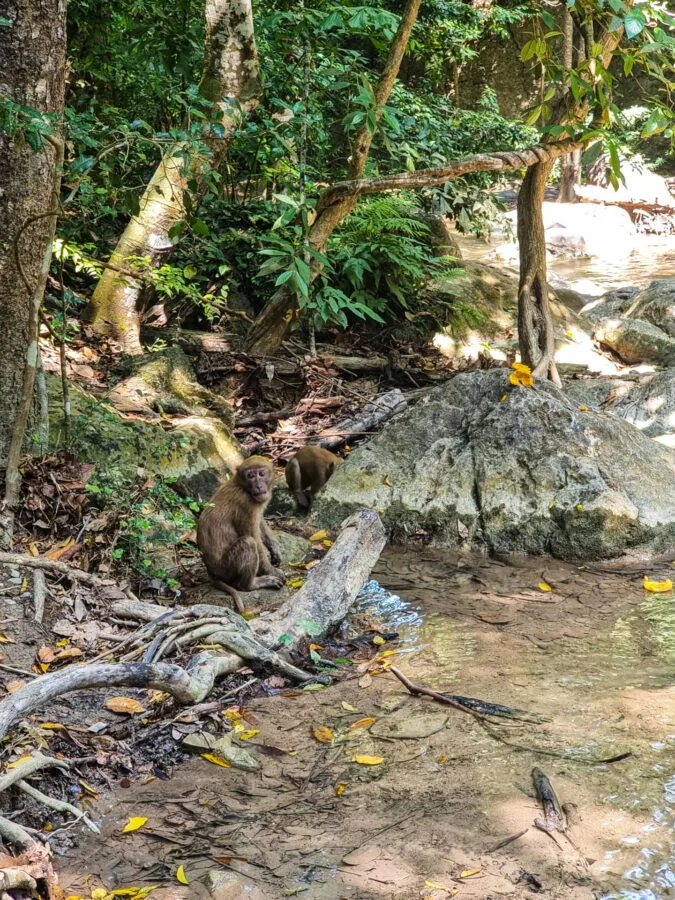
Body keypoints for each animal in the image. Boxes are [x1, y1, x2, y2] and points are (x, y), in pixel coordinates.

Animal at [197, 456, 284, 614]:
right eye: (251, 475)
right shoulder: (246, 503)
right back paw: (251, 584)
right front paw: (272, 571)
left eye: (261, 473)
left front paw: (274, 549)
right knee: (248, 542)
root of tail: (210, 571)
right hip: (227, 569)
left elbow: (259, 523)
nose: (258, 485)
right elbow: (253, 536)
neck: (242, 486)